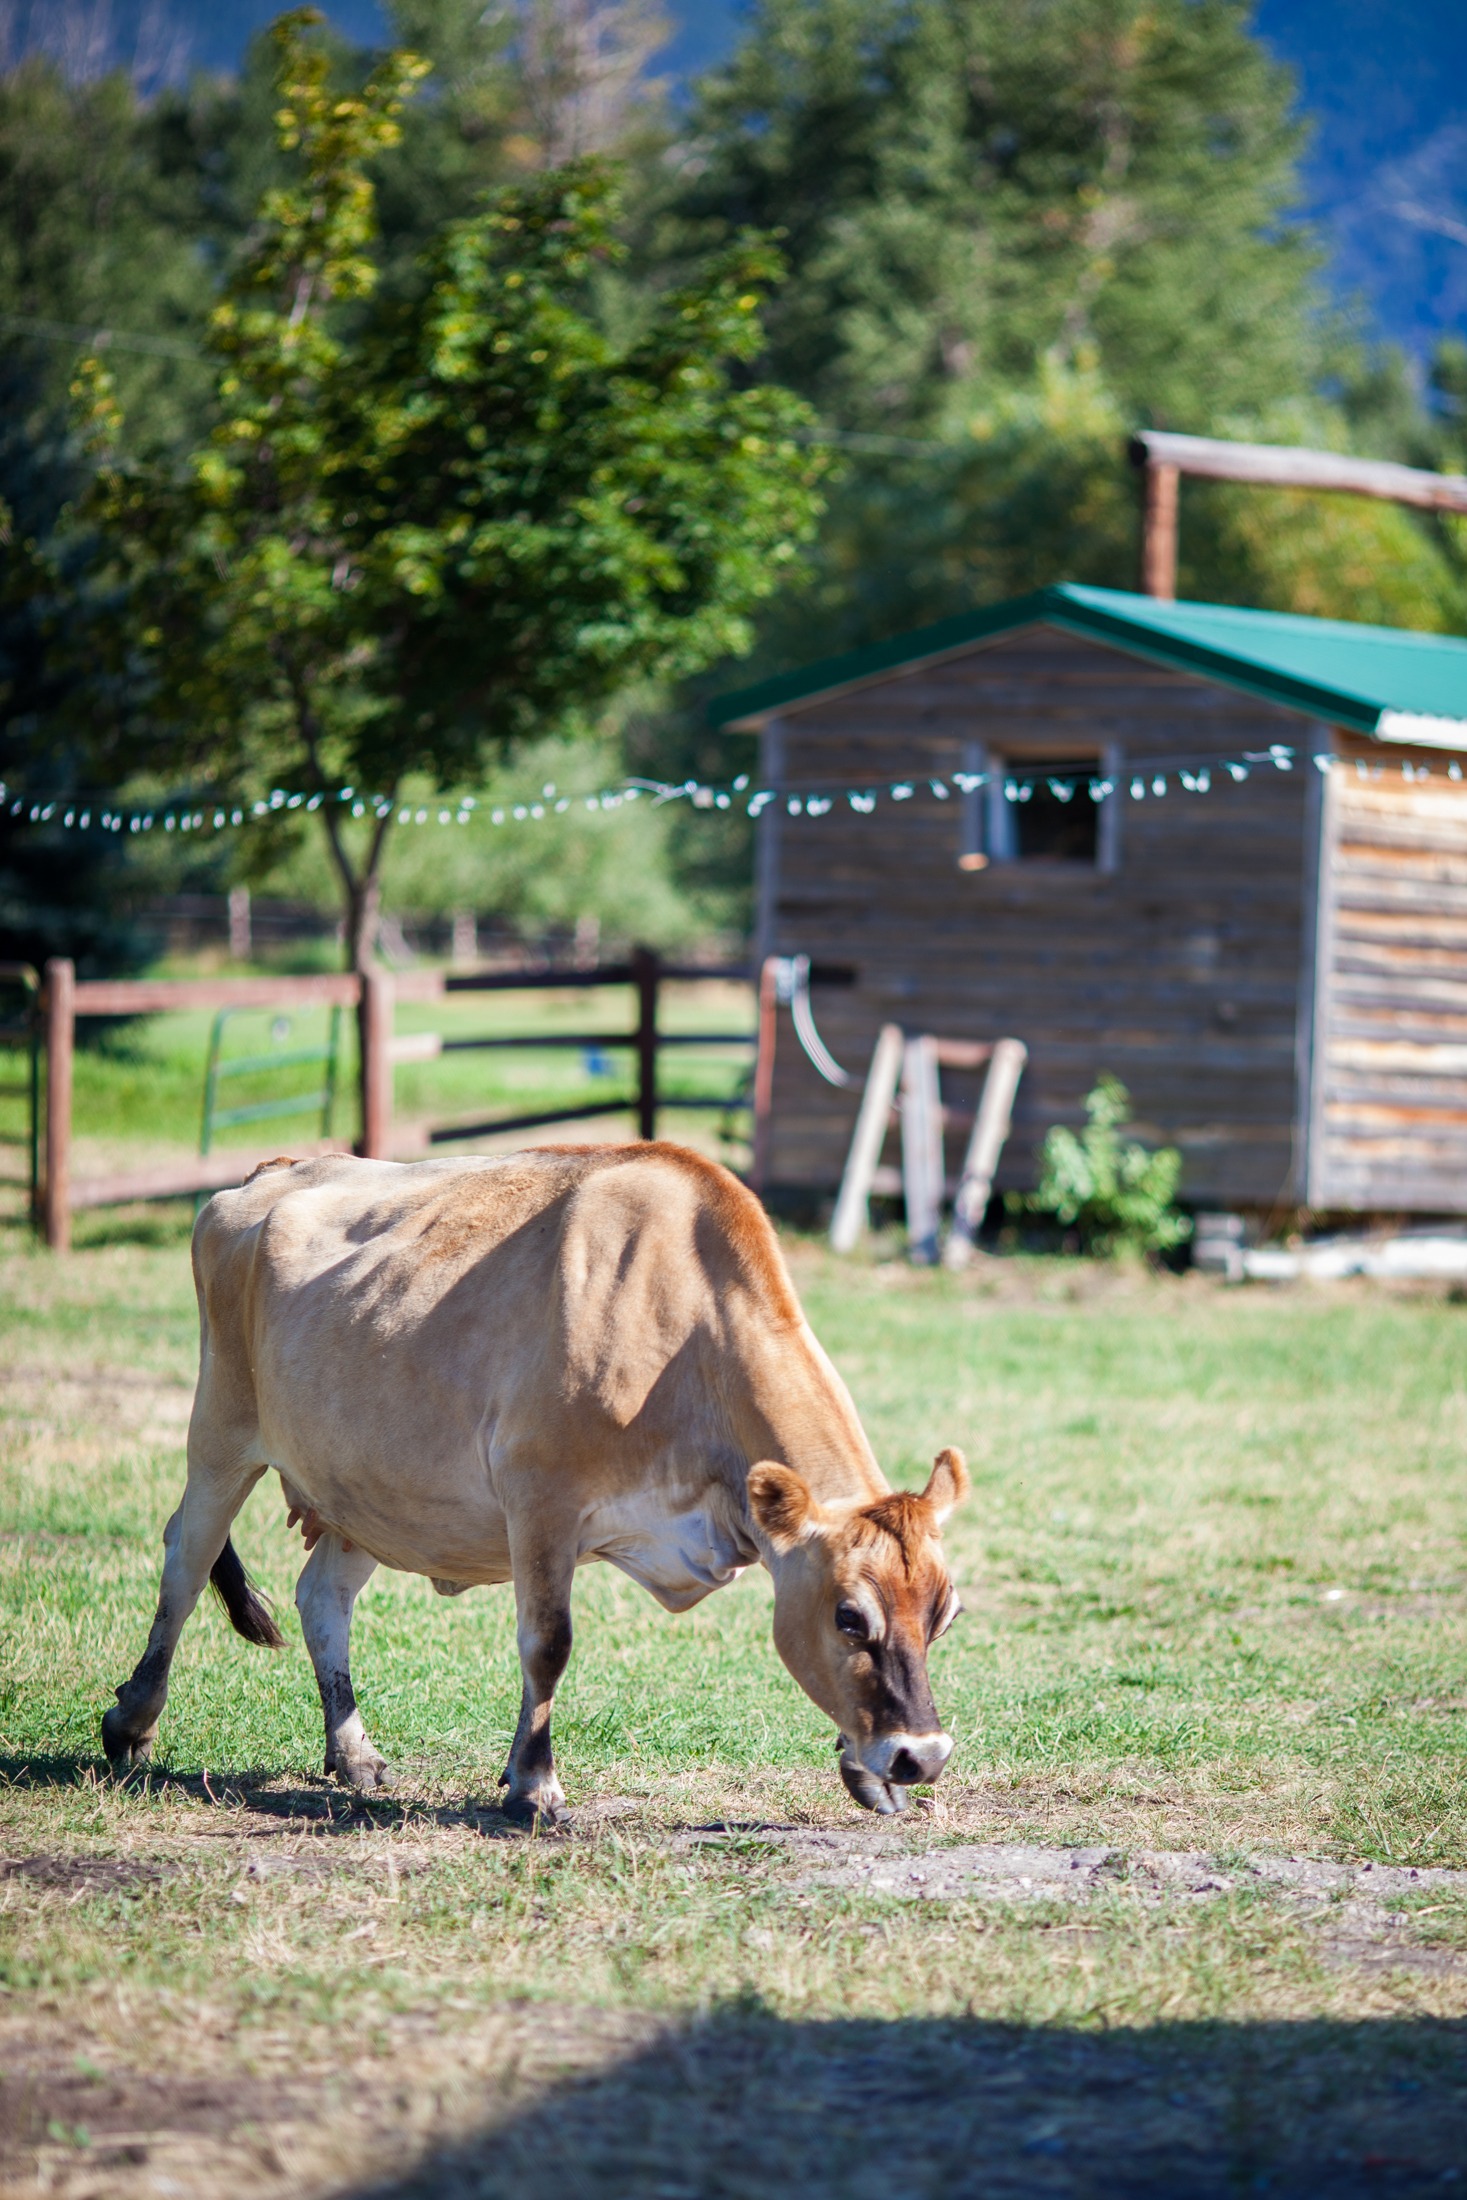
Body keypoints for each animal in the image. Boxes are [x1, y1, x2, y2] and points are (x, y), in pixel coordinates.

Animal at [103, 1144, 976, 1812]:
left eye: (946, 1615)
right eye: (848, 1617)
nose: (922, 1756)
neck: (683, 1342)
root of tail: (276, 1169)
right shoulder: (541, 1502)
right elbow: (547, 1642)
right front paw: (533, 1786)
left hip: (369, 1488)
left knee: (321, 1597)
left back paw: (353, 1752)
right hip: (221, 1431)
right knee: (185, 1562)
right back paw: (132, 1724)